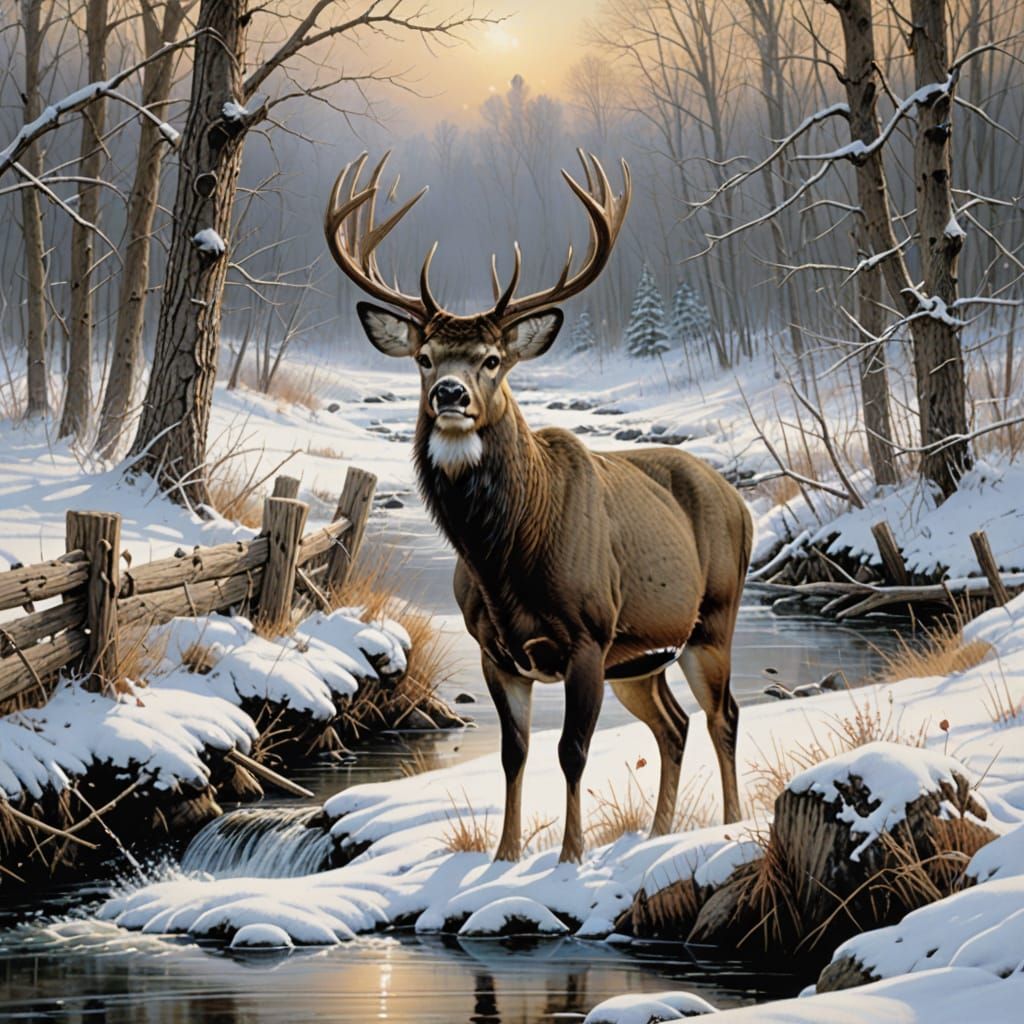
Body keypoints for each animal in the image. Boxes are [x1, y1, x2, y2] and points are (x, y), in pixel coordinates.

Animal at [324, 151, 753, 864]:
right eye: (423, 357)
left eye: (494, 359)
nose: (449, 393)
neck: (507, 561)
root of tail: (740, 501)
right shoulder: (496, 651)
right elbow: (514, 753)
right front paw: (505, 856)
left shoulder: (587, 635)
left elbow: (571, 751)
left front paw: (571, 857)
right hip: (639, 657)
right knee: (674, 724)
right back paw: (658, 833)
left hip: (712, 619)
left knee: (724, 716)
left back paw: (729, 825)